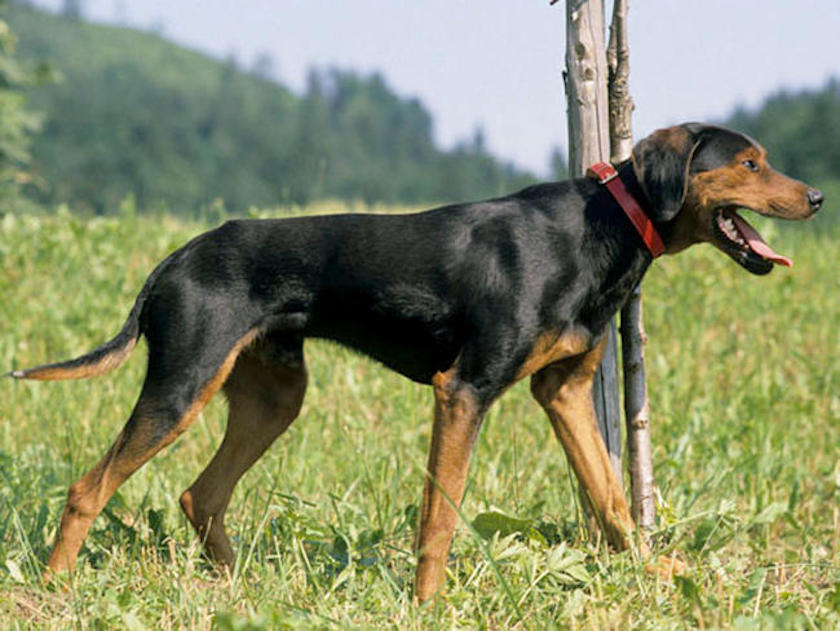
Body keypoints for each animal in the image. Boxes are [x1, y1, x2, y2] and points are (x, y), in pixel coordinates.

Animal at [11, 123, 828, 604]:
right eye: (749, 163)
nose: (818, 196)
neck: (601, 227)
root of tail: (173, 259)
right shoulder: (463, 389)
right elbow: (441, 515)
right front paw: (428, 604)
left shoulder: (562, 391)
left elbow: (613, 501)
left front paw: (656, 576)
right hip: (181, 386)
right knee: (87, 488)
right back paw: (52, 592)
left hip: (275, 396)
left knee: (199, 494)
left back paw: (238, 591)